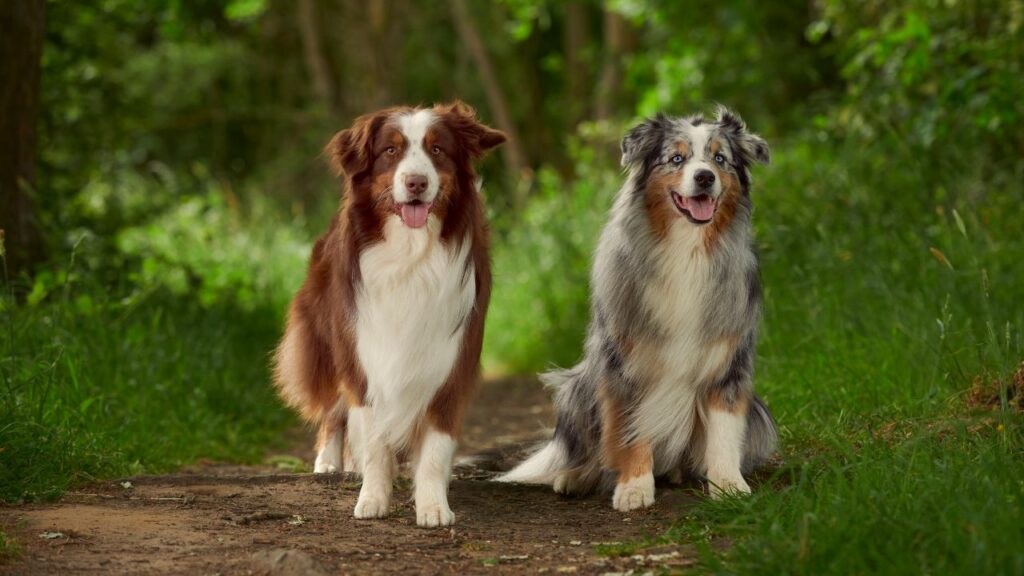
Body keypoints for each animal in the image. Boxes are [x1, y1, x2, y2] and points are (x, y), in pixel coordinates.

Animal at [274, 101, 505, 524]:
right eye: (391, 151)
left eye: (438, 149)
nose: (416, 183)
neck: (410, 255)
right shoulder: (365, 354)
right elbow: (374, 438)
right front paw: (373, 499)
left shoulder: (451, 361)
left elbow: (435, 447)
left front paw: (433, 505)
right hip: (328, 342)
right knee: (334, 410)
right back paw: (329, 462)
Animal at [499, 106, 778, 506]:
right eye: (677, 159)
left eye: (720, 159)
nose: (705, 177)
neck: (687, 250)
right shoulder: (626, 364)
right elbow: (631, 429)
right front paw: (634, 487)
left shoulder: (728, 361)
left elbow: (724, 432)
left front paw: (728, 485)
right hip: (578, 389)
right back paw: (577, 477)